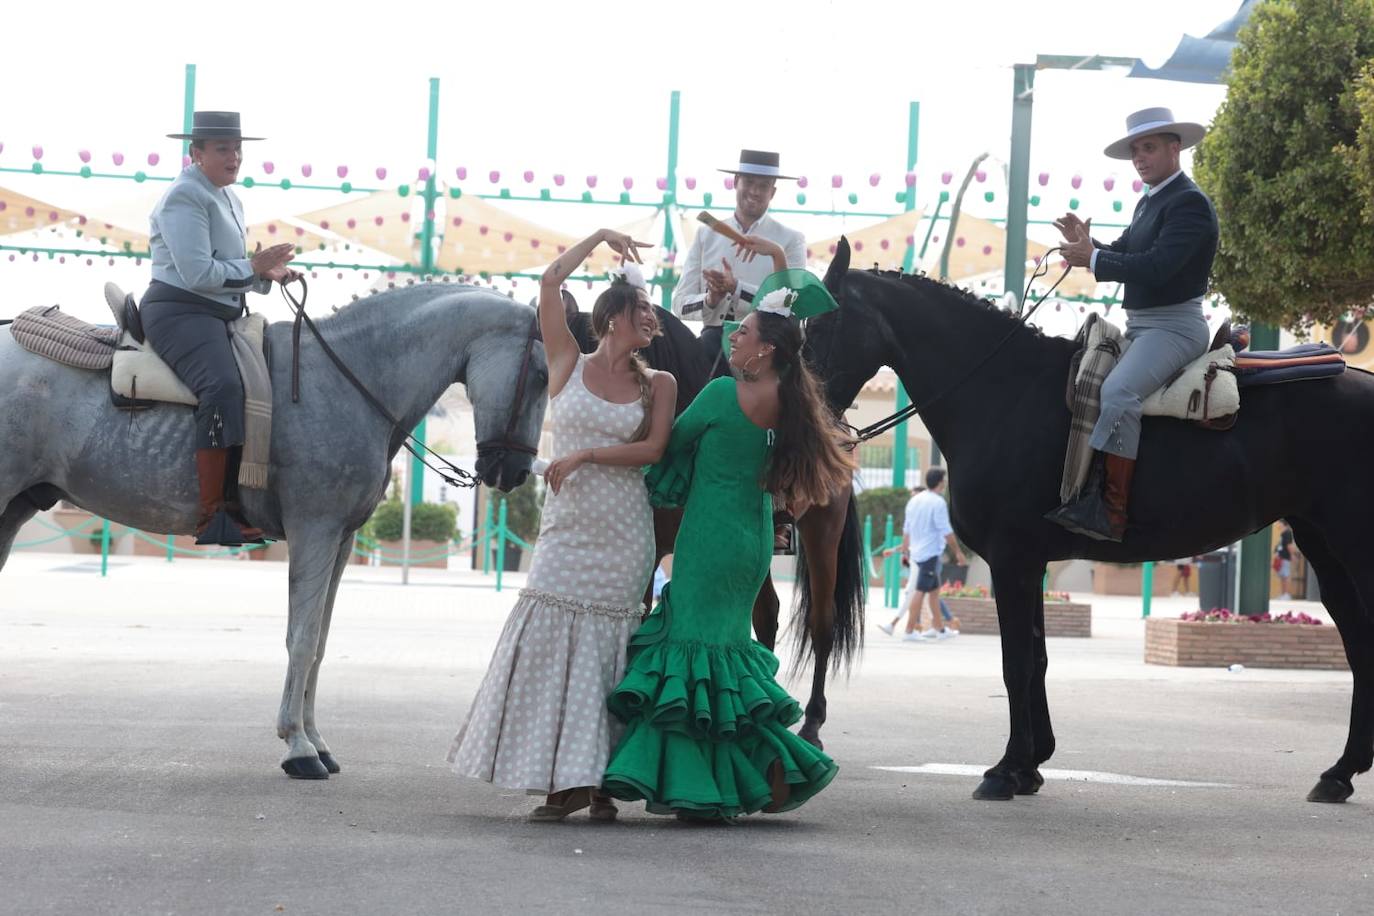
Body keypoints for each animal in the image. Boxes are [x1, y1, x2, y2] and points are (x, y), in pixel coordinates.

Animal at [1, 282, 546, 780]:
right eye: (541, 375)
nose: (516, 471)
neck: (347, 379)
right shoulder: (314, 530)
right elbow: (301, 639)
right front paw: (299, 747)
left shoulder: (341, 540)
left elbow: (320, 642)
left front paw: (317, 740)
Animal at [802, 236, 1374, 802]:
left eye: (822, 324)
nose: (811, 415)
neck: (1002, 390)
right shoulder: (1029, 565)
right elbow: (1036, 659)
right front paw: (1030, 765)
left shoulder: (1012, 562)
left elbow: (1015, 663)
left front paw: (1005, 770)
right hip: (1323, 544)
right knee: (1356, 639)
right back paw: (1340, 771)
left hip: (1351, 541)